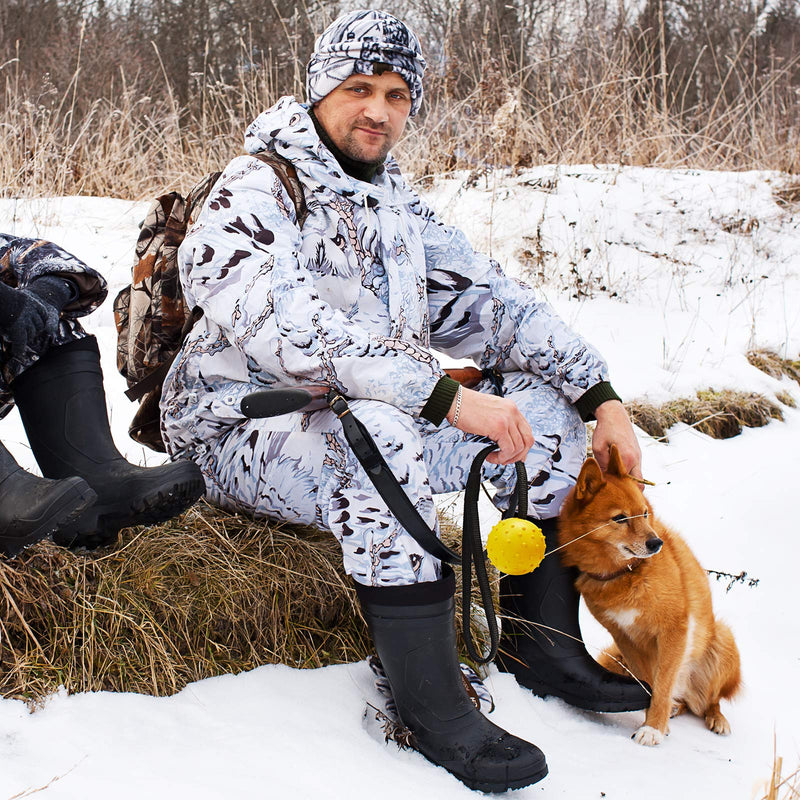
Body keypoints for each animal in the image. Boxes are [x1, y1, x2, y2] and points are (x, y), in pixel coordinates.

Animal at [560, 446, 740, 748]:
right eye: (620, 518)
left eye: (644, 514)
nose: (657, 544)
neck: (626, 573)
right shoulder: (625, 639)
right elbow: (649, 684)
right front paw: (655, 720)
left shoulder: (674, 631)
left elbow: (663, 683)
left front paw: (654, 727)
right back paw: (676, 708)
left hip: (722, 642)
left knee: (710, 700)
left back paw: (717, 718)